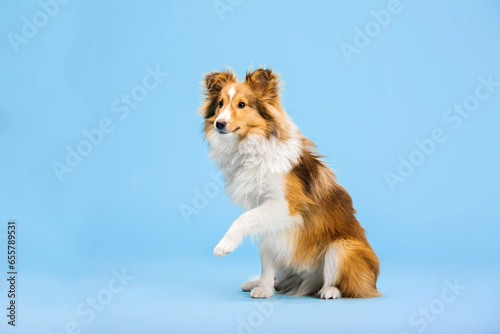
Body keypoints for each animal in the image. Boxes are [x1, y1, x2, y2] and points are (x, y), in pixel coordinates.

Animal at [197, 66, 380, 298]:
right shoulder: (268, 220)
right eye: (220, 103)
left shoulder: (286, 205)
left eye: (241, 104)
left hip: (342, 248)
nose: (219, 124)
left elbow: (242, 219)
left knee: (349, 286)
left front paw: (225, 245)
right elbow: (266, 259)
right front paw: (264, 289)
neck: (252, 146)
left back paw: (331, 291)